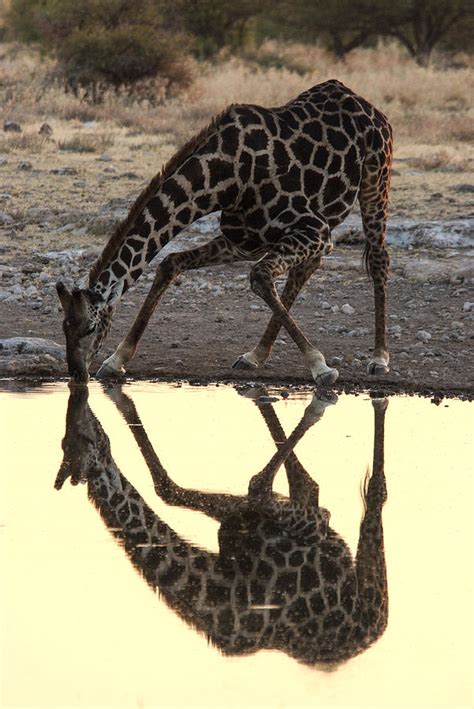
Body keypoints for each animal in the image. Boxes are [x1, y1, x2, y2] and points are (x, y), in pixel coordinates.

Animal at [56, 79, 392, 382]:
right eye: (63, 327)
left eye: (90, 327)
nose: (77, 374)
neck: (224, 178)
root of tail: (364, 102)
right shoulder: (244, 241)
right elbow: (169, 264)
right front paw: (117, 359)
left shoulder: (315, 228)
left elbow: (259, 276)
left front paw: (320, 366)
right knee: (304, 270)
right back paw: (256, 355)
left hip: (376, 181)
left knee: (378, 259)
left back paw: (379, 358)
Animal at [56, 382, 388, 664]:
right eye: (65, 442)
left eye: (83, 440)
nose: (91, 420)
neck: (226, 591)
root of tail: (371, 635)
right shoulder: (233, 522)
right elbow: (173, 491)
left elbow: (263, 489)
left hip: (375, 591)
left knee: (376, 494)